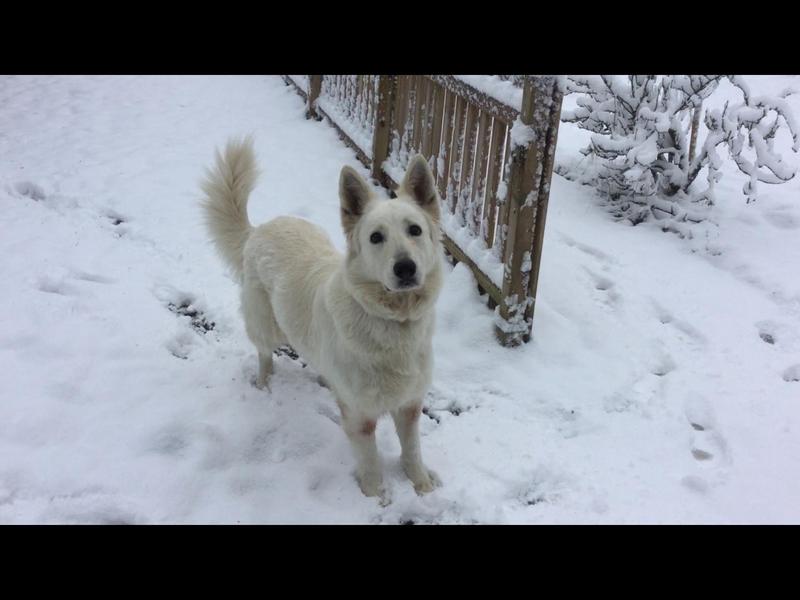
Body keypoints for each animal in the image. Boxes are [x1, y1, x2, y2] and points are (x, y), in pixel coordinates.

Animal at [200, 137, 444, 502]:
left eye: (414, 230)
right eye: (376, 237)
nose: (405, 268)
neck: (392, 321)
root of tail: (259, 229)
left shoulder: (410, 405)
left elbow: (413, 450)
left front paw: (422, 486)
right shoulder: (360, 416)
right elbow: (370, 462)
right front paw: (375, 498)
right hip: (267, 325)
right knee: (263, 353)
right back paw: (264, 383)